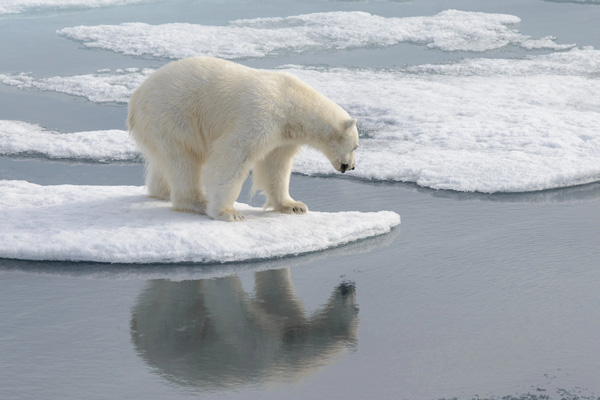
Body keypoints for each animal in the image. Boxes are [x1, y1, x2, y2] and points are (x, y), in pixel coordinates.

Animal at [127, 57, 358, 222]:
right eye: (356, 146)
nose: (351, 167)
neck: (292, 103)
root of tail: (136, 97)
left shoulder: (284, 136)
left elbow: (276, 166)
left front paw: (294, 205)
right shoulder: (261, 115)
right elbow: (234, 154)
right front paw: (228, 212)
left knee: (164, 162)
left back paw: (161, 193)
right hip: (173, 115)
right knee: (184, 160)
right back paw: (198, 202)